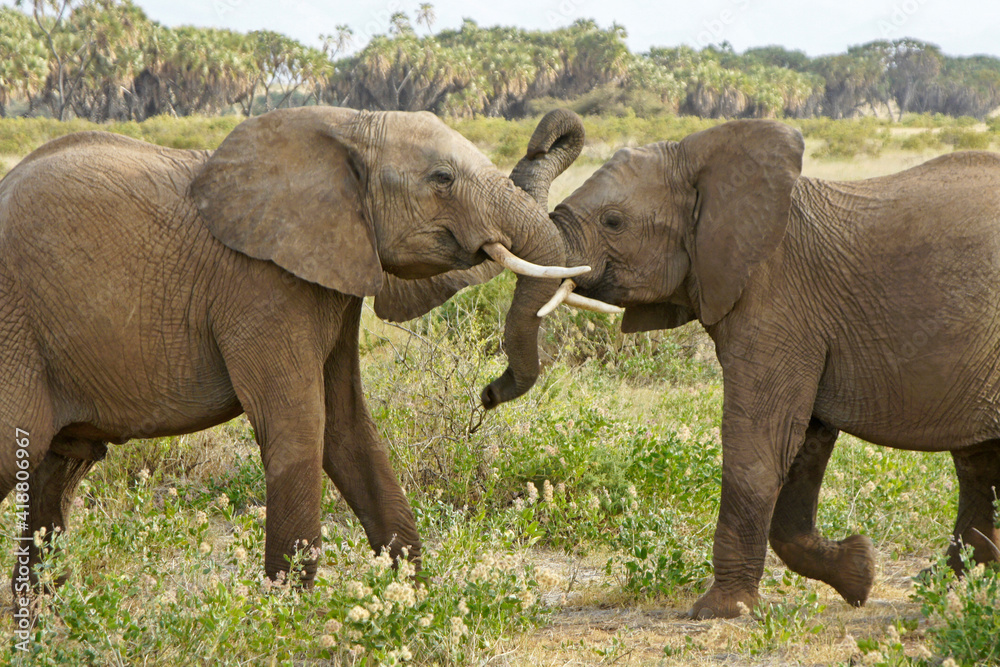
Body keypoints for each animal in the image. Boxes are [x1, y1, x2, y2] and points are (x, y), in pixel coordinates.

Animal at [0, 106, 588, 599]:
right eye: (441, 179)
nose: (488, 394)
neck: (347, 127)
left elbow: (350, 427)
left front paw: (413, 601)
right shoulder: (262, 286)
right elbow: (300, 424)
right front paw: (288, 616)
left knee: (61, 467)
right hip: (15, 332)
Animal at [486, 108, 1000, 619]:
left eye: (613, 222)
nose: (489, 395)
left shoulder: (779, 300)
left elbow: (761, 439)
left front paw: (719, 610)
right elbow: (804, 445)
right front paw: (859, 572)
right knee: (978, 466)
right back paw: (952, 587)